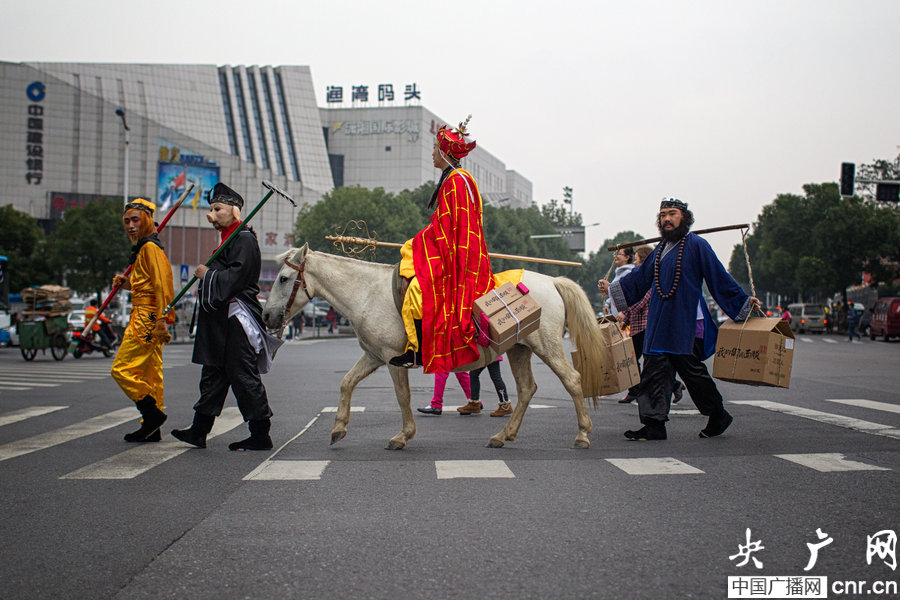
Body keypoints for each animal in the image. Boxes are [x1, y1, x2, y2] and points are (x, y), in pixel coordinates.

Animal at [264, 245, 608, 450]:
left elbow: (402, 397)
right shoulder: (373, 355)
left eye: (283, 278)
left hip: (547, 345)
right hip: (519, 348)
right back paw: (503, 435)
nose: (266, 316)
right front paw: (338, 428)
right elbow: (346, 382)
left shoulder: (392, 358)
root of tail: (552, 281)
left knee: (572, 381)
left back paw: (582, 434)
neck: (367, 293)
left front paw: (403, 435)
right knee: (526, 389)